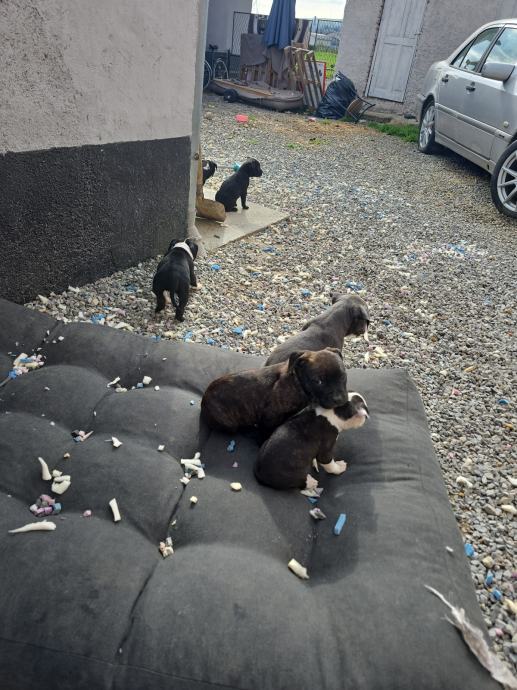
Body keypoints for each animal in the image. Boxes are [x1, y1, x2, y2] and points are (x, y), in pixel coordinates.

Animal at [201, 348, 349, 434]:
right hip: (229, 424)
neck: (297, 382)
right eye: (318, 381)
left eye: (343, 376)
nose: (339, 399)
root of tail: (204, 402)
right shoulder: (270, 416)